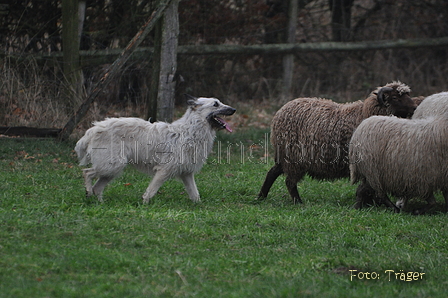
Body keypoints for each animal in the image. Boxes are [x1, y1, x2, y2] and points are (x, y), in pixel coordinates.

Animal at [75, 95, 236, 203]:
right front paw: (144, 205)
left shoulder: (187, 173)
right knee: (87, 173)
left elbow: (195, 194)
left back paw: (99, 203)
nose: (234, 109)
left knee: (97, 187)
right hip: (112, 165)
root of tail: (94, 128)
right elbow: (151, 191)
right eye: (215, 104)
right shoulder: (164, 170)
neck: (190, 130)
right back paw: (88, 192)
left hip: (111, 169)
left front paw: (200, 207)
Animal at [258, 80, 418, 204]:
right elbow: (371, 187)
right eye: (395, 98)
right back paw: (298, 202)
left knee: (272, 173)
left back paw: (261, 197)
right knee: (290, 182)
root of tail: (280, 112)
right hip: (295, 157)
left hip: (285, 156)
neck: (365, 113)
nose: (415, 107)